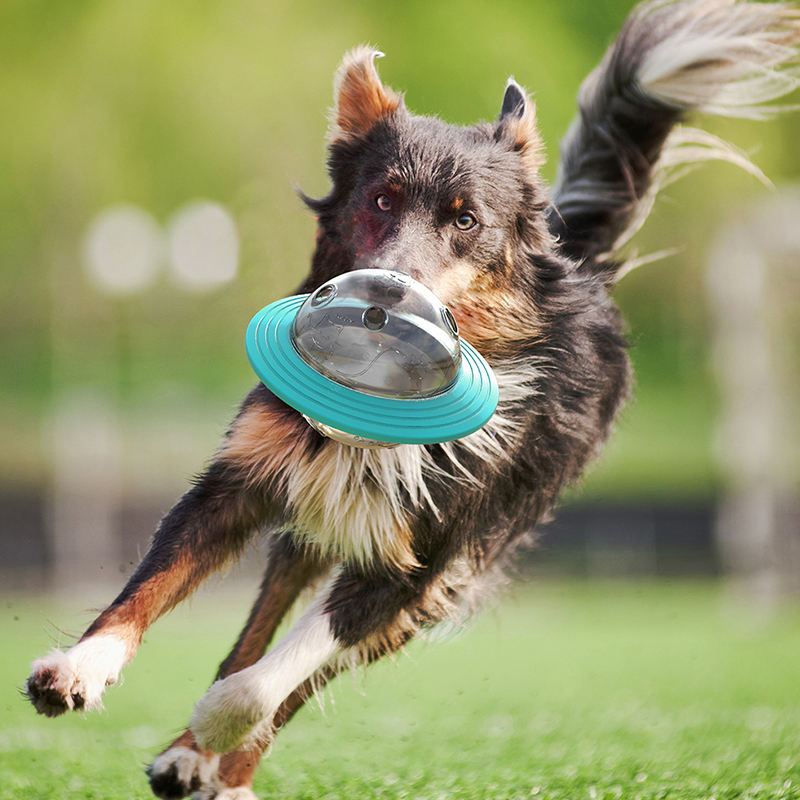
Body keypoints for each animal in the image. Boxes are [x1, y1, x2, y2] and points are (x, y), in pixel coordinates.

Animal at [25, 1, 800, 800]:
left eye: (464, 220)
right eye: (381, 199)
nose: (387, 295)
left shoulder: (425, 558)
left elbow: (282, 670)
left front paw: (220, 721)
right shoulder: (241, 481)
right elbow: (151, 587)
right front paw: (78, 669)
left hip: (457, 566)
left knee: (304, 668)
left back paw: (224, 763)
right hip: (310, 530)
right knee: (262, 622)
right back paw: (189, 757)